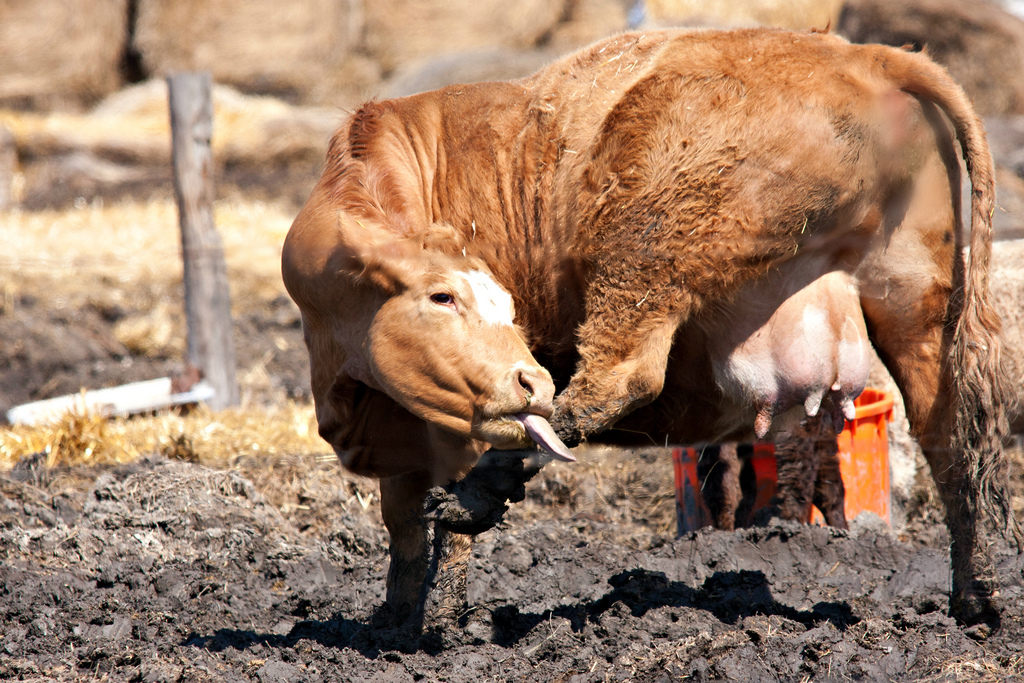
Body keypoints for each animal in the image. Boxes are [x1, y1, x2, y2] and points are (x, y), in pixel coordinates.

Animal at [282, 28, 1019, 633]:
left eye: (503, 304)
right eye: (442, 295)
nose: (527, 378)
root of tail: (864, 55)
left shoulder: (457, 413)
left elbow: (427, 518)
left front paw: (433, 619)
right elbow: (402, 519)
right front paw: (393, 620)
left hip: (648, 242)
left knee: (616, 377)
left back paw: (478, 495)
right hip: (915, 302)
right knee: (951, 435)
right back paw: (975, 598)